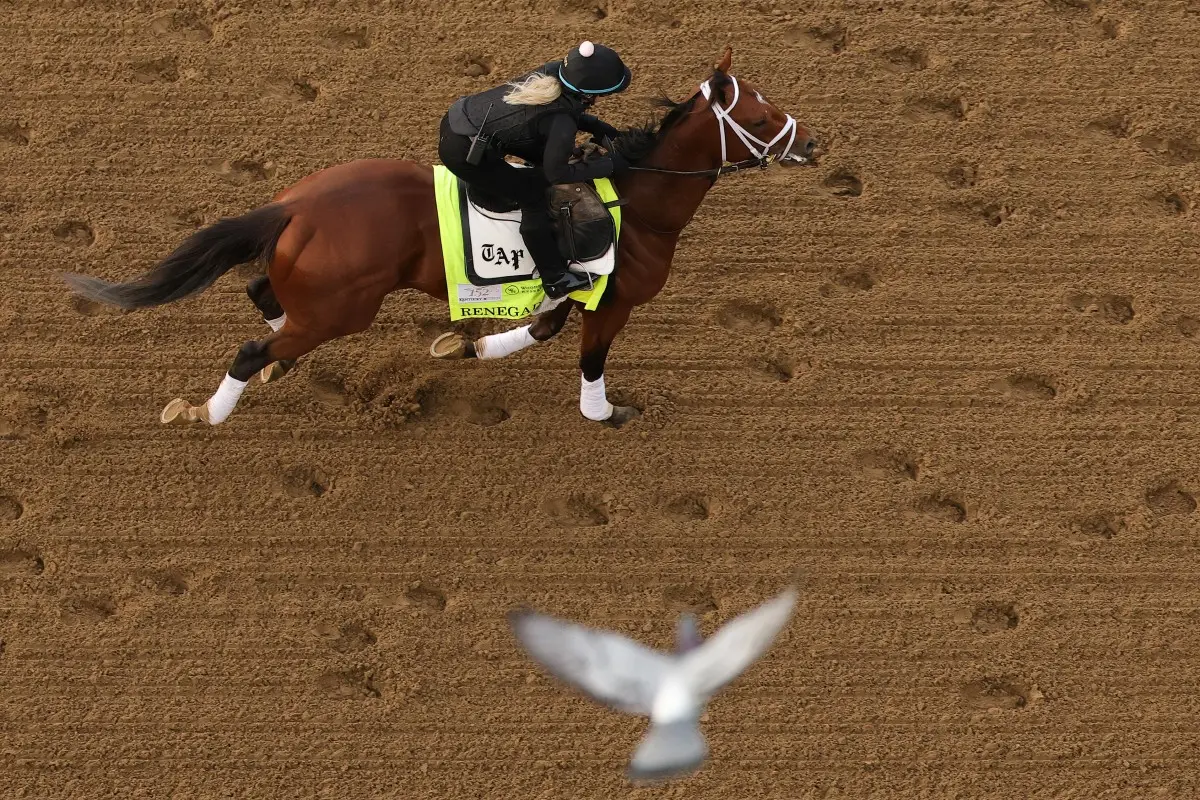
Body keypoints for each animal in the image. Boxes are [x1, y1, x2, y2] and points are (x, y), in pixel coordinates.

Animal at [61, 47, 817, 429]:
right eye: (761, 114)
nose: (811, 141)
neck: (640, 204)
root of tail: (293, 205)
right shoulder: (613, 299)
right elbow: (588, 357)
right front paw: (602, 413)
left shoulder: (572, 292)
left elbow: (539, 328)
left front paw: (466, 345)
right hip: (343, 307)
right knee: (251, 348)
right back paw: (208, 411)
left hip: (315, 286)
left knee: (259, 291)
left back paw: (278, 360)